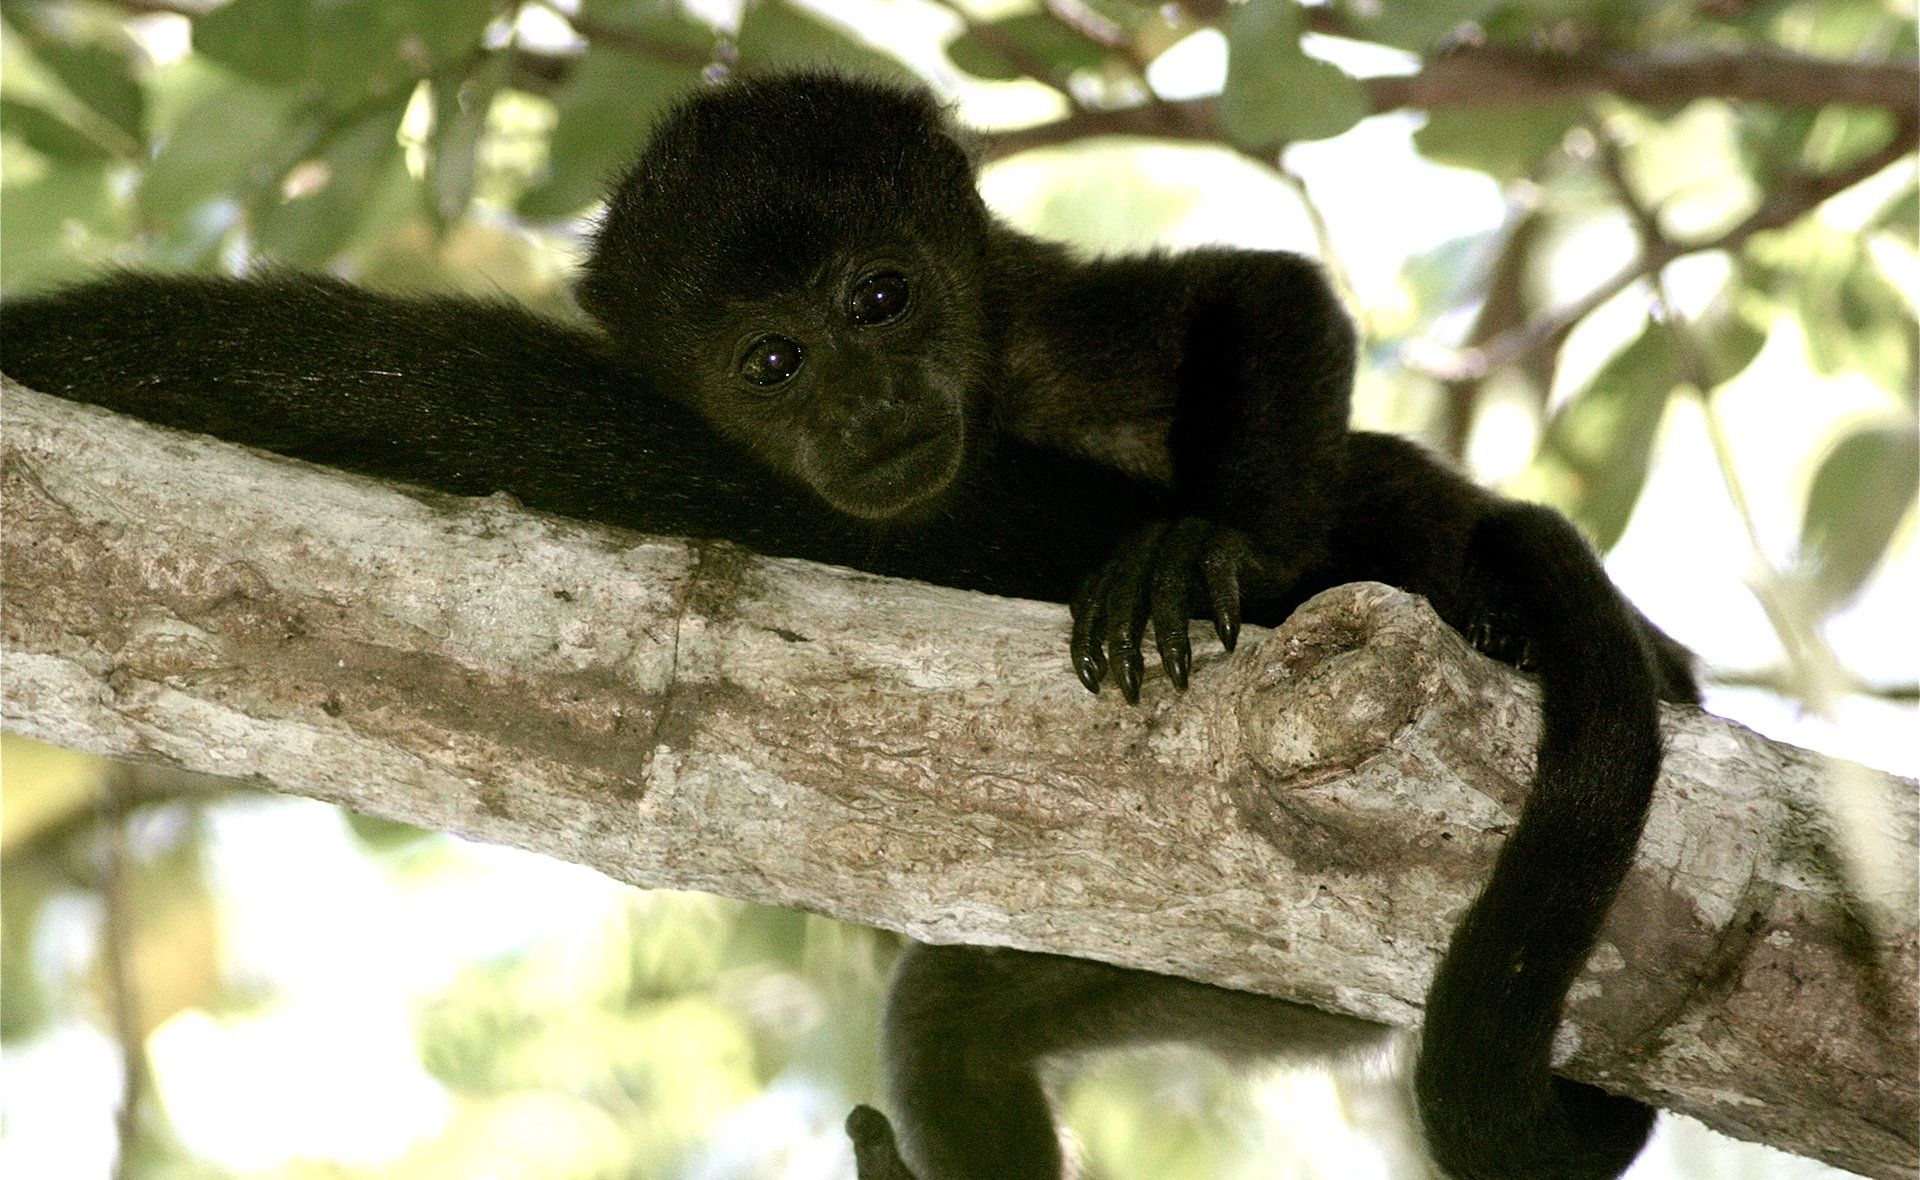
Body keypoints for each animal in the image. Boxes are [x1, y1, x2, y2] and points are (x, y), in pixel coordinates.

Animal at [0, 71, 1699, 1180]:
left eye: (882, 300)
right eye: (774, 361)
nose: (874, 407)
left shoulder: (1056, 318)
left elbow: (1264, 295)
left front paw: (1228, 547)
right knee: (951, 1024)